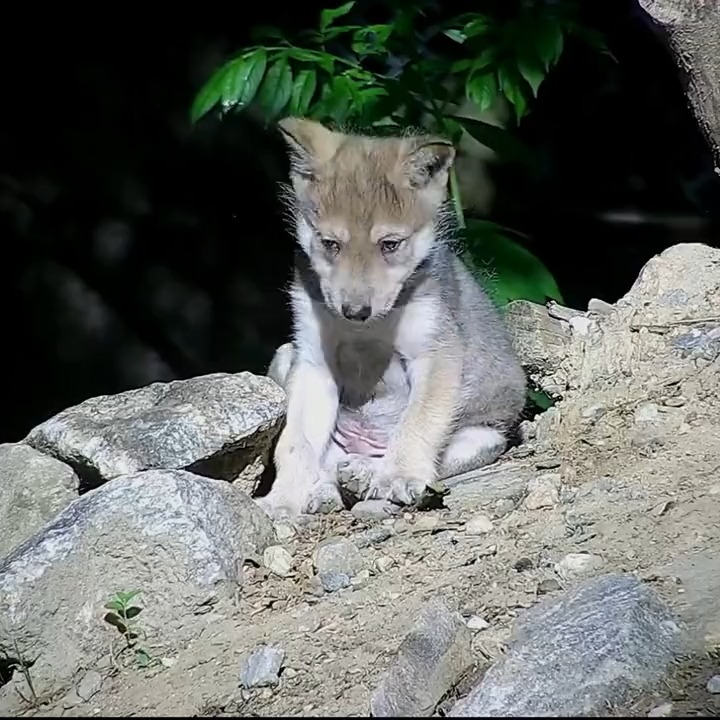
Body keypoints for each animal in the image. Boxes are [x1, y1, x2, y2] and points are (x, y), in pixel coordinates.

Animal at [256, 118, 527, 520]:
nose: (355, 311)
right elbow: (295, 444)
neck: (367, 331)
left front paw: (399, 477)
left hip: (482, 437)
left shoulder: (435, 354)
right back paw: (330, 487)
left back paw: (367, 473)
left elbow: (417, 423)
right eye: (330, 244)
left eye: (390, 245)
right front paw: (283, 500)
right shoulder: (313, 362)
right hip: (284, 358)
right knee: (329, 467)